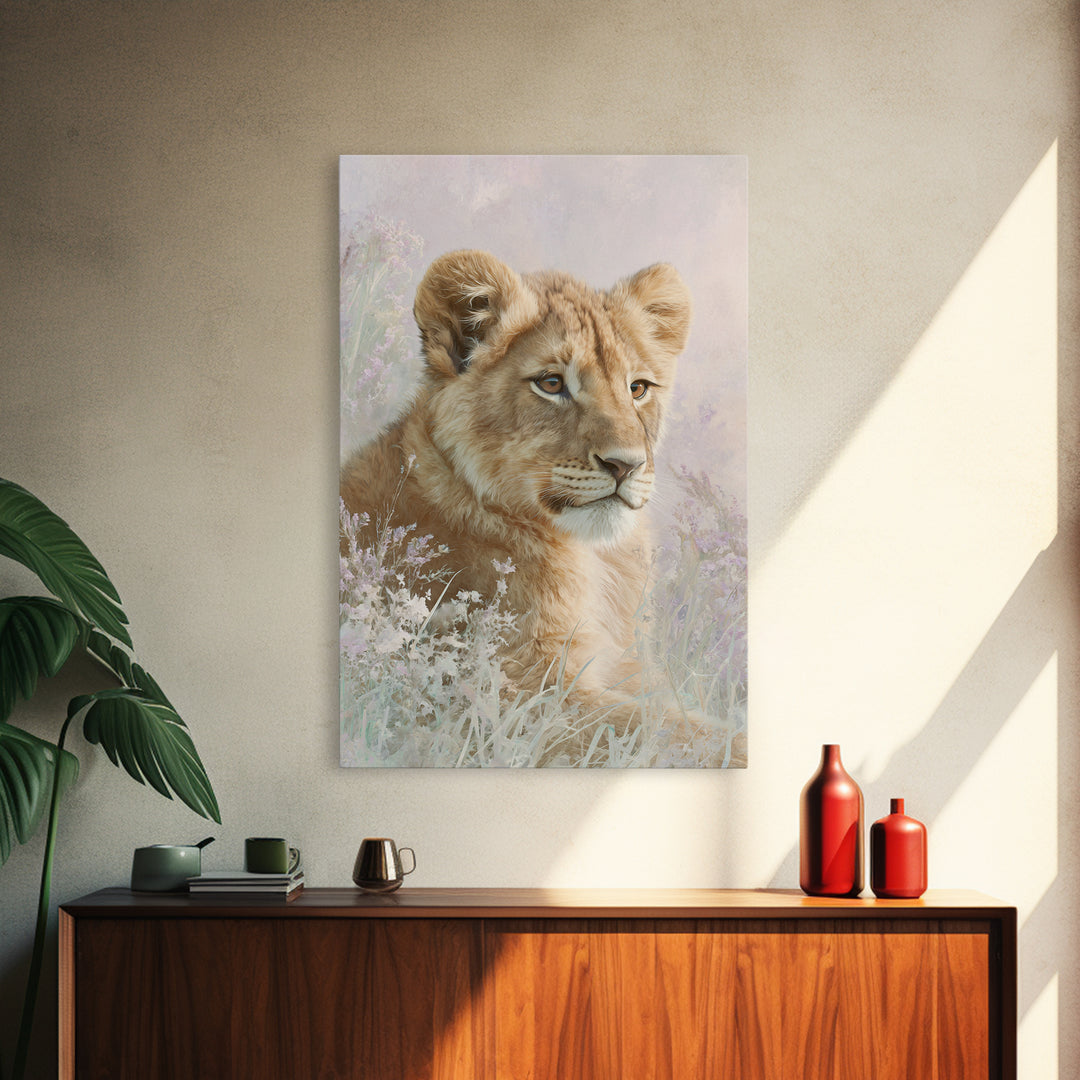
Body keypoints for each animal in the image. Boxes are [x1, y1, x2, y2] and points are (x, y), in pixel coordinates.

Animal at [341, 249, 731, 765]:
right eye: (551, 383)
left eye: (638, 388)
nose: (626, 465)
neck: (595, 558)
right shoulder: (510, 694)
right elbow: (673, 733)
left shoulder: (624, 664)